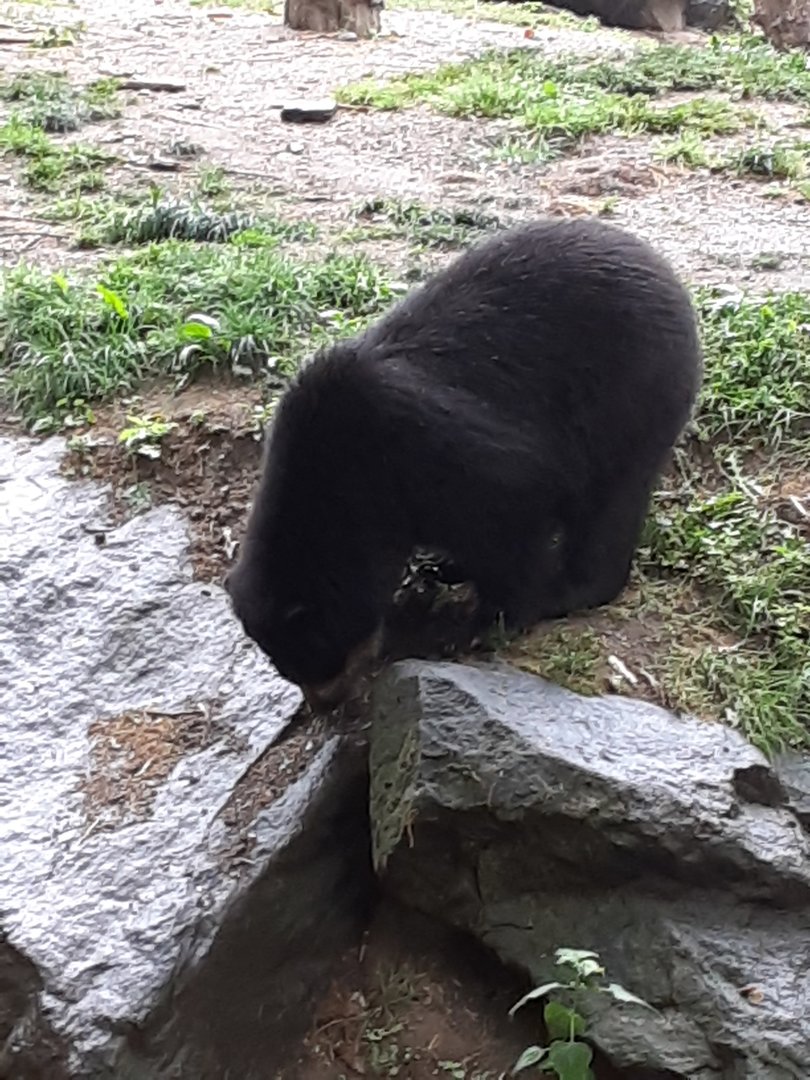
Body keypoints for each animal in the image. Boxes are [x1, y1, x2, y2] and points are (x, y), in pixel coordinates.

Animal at [225, 217, 703, 711]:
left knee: (608, 503)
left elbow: (514, 511)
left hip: (630, 397)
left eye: (320, 654)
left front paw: (482, 625)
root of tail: (669, 277)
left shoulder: (431, 450)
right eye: (287, 668)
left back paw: (568, 591)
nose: (325, 704)